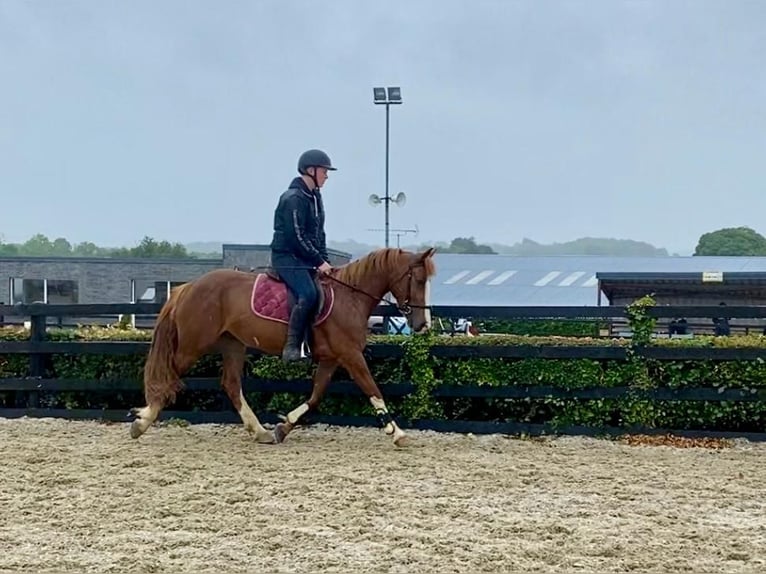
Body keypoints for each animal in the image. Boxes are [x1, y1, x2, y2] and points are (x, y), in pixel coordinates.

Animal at [129, 245, 436, 448]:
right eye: (419, 280)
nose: (423, 324)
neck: (350, 297)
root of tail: (187, 287)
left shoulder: (332, 359)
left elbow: (315, 397)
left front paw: (283, 427)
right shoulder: (351, 355)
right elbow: (373, 389)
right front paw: (397, 432)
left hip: (233, 345)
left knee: (231, 385)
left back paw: (260, 432)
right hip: (193, 346)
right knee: (169, 377)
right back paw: (141, 422)